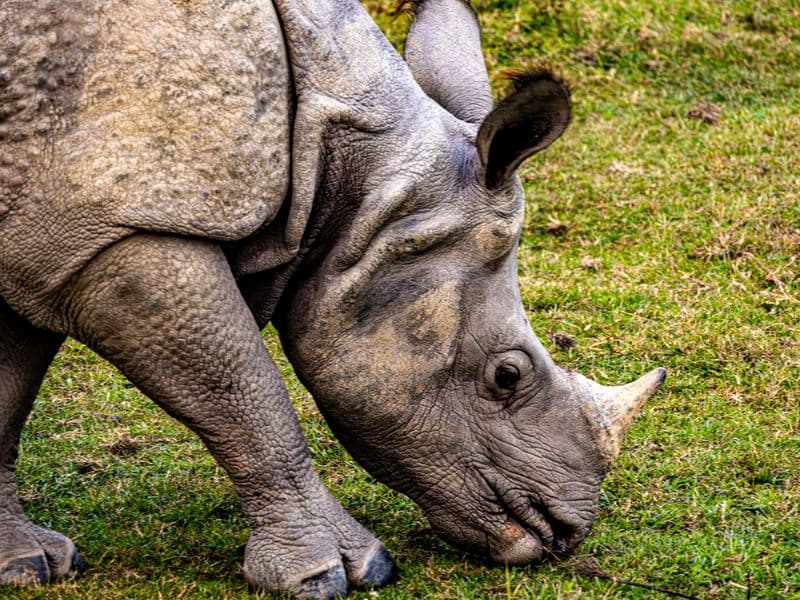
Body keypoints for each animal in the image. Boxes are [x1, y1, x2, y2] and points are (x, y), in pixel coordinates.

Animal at [0, 0, 665, 597]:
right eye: (507, 376)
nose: (567, 533)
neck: (350, 183)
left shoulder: (46, 232)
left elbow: (10, 389)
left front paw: (26, 565)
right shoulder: (116, 229)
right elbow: (243, 390)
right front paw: (339, 573)